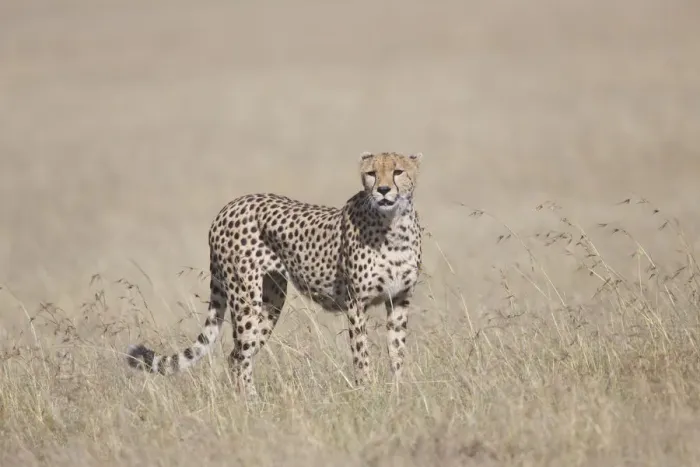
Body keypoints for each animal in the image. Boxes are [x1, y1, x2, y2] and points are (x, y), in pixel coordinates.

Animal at [126, 151, 424, 399]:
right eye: (372, 173)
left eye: (398, 171)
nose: (383, 190)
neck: (393, 226)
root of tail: (229, 206)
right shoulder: (356, 304)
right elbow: (361, 353)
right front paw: (366, 392)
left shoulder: (399, 299)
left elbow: (397, 351)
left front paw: (398, 392)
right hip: (245, 297)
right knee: (240, 355)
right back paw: (251, 403)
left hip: (272, 299)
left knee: (237, 354)